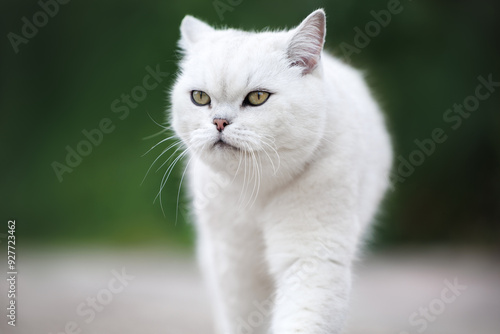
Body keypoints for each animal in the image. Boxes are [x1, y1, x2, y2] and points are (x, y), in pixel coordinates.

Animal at [170, 8, 392, 334]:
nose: (219, 122)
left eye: (258, 97)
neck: (257, 189)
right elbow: (241, 318)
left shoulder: (312, 256)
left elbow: (303, 317)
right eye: (199, 97)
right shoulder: (234, 266)